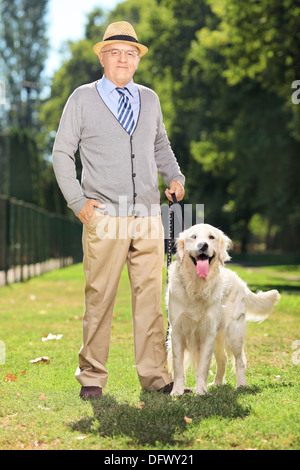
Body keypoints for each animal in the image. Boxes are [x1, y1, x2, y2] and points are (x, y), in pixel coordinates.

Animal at [168, 224, 280, 396]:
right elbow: (178, 366)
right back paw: (217, 383)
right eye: (193, 236)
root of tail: (241, 282)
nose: (203, 245)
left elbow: (203, 367)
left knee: (239, 361)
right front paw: (177, 391)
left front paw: (201, 391)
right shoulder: (177, 331)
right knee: (223, 360)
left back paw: (241, 384)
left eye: (211, 237)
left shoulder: (208, 332)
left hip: (233, 332)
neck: (197, 287)